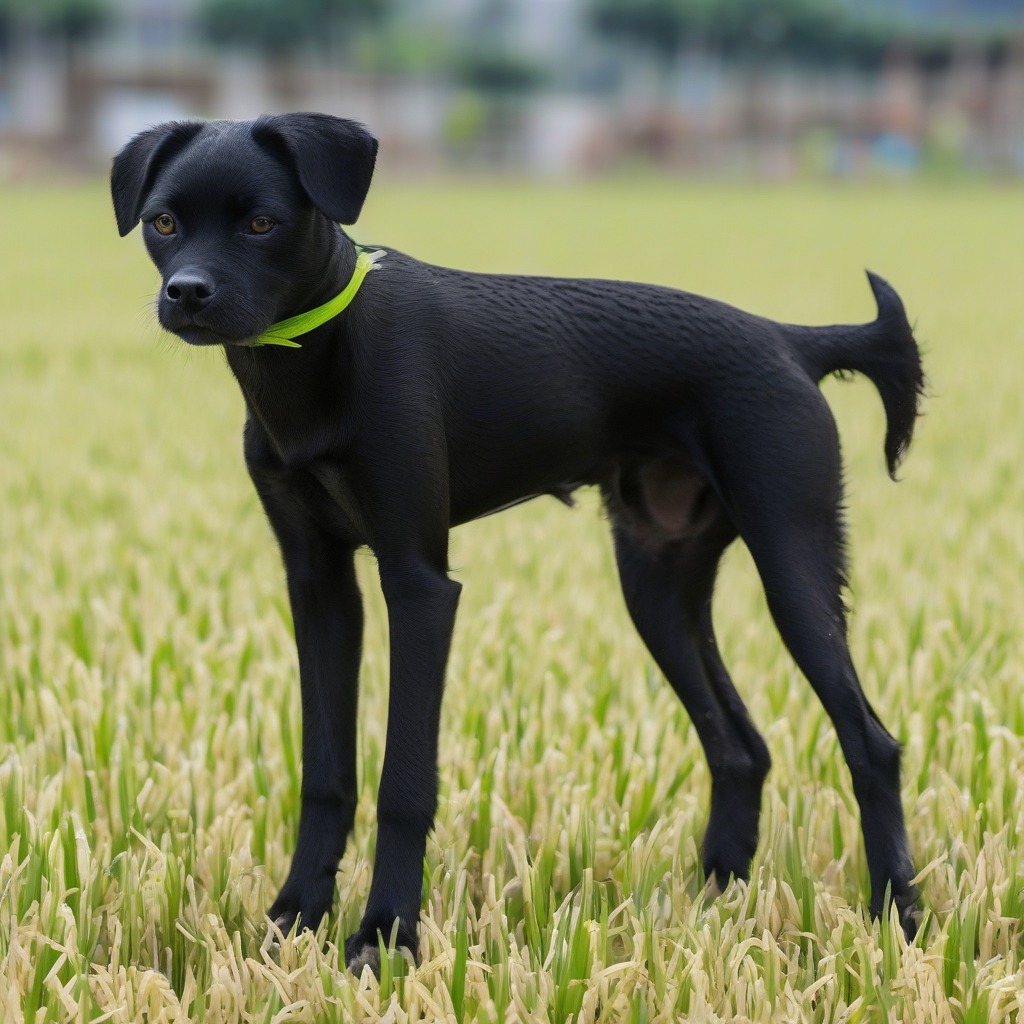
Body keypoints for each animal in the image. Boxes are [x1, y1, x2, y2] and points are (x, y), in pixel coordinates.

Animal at [112, 112, 929, 966]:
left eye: (262, 224)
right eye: (163, 222)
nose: (187, 294)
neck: (322, 352)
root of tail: (790, 340)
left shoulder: (419, 583)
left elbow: (404, 779)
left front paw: (386, 935)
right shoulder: (319, 584)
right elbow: (325, 771)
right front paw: (295, 918)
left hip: (792, 562)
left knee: (871, 743)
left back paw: (897, 920)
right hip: (657, 583)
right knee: (740, 746)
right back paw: (713, 907)